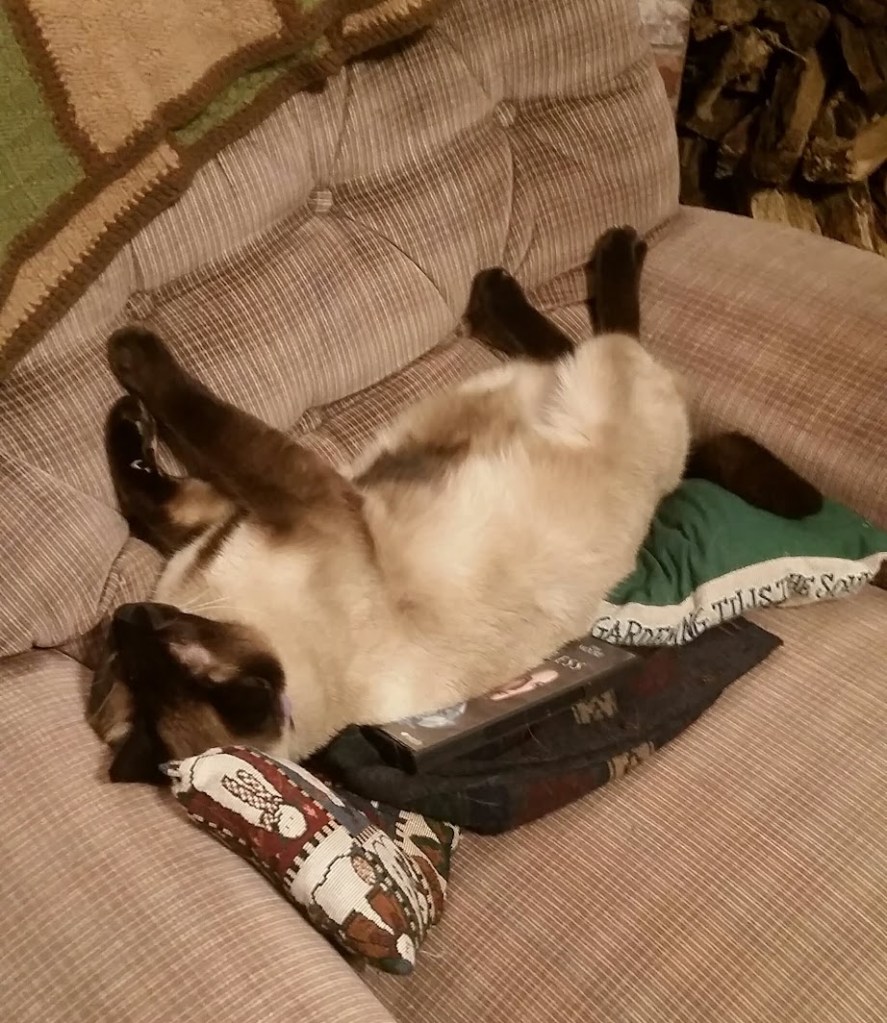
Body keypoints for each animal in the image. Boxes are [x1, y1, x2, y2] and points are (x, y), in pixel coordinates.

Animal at [88, 226, 820, 784]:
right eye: (135, 648)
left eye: (167, 641)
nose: (127, 614)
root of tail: (668, 478)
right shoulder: (254, 509)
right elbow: (163, 469)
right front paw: (131, 390)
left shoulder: (268, 499)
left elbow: (166, 450)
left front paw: (129, 364)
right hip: (581, 387)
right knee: (592, 345)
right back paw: (518, 286)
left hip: (584, 381)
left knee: (607, 338)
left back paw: (557, 268)